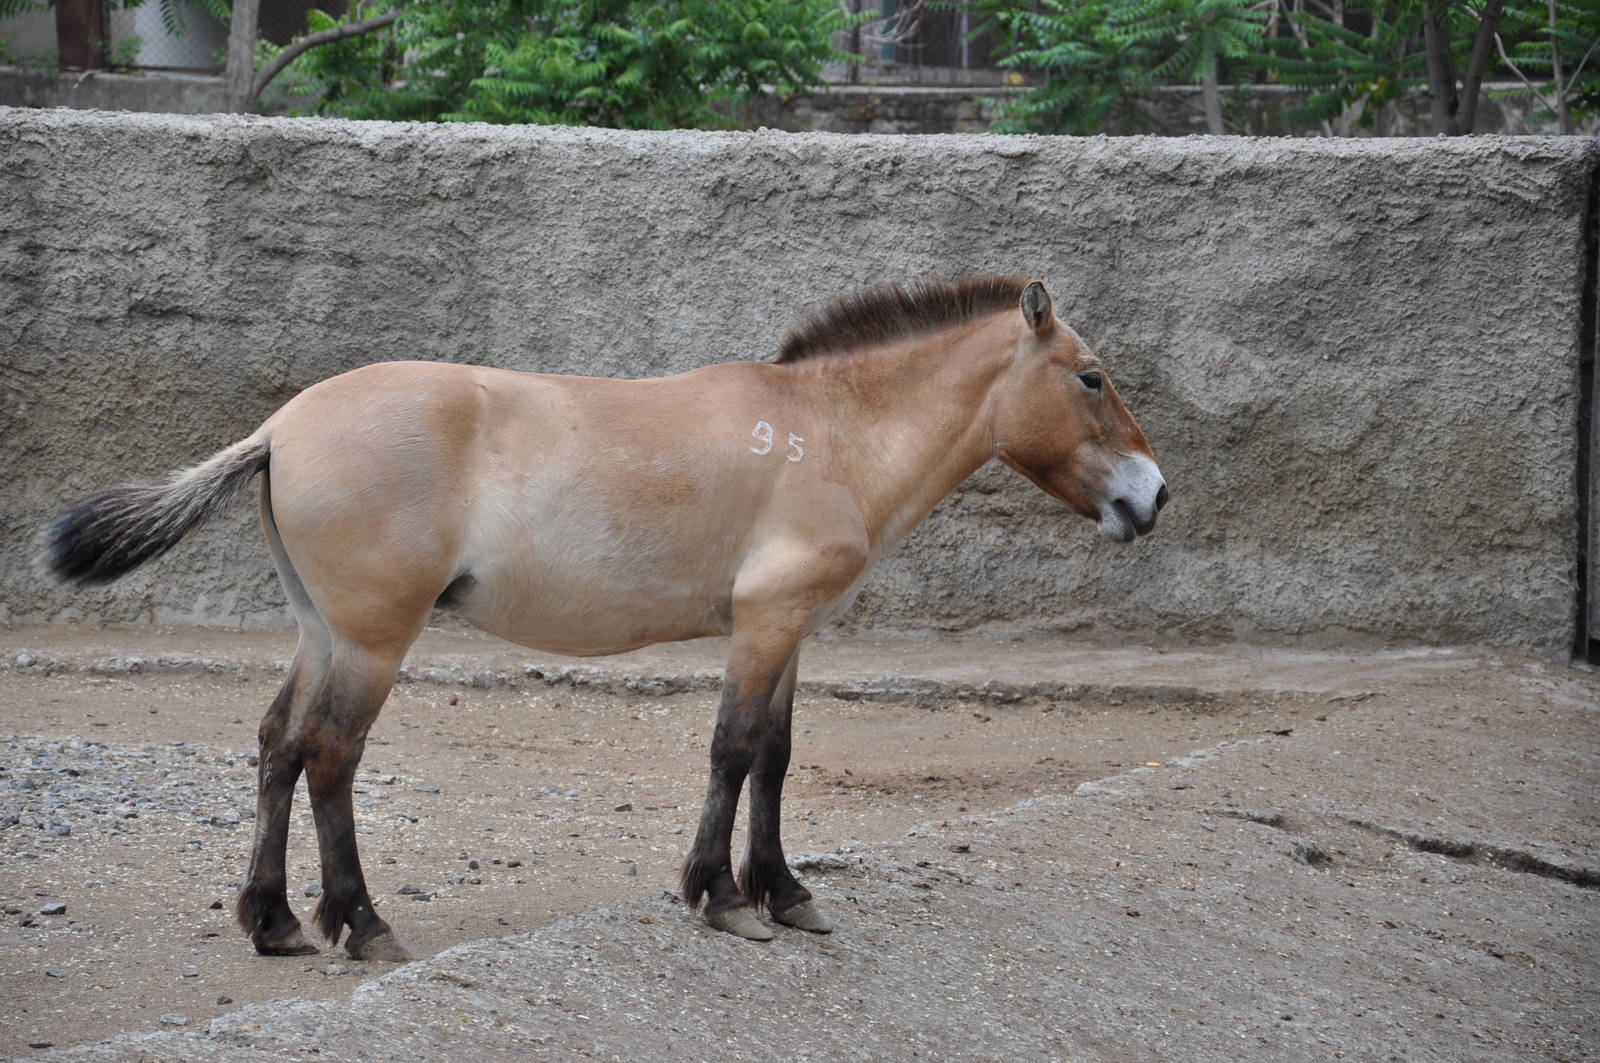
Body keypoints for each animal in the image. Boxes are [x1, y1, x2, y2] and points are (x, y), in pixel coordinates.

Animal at [38, 276, 1167, 959]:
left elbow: (775, 756)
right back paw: (361, 922)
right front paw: (721, 898)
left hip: (322, 632)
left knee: (278, 744)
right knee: (329, 756)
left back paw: (272, 922)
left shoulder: (788, 629)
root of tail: (279, 426)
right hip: (371, 641)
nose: (1152, 497)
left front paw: (784, 890)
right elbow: (732, 750)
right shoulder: (764, 622)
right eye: (1092, 376)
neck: (827, 432)